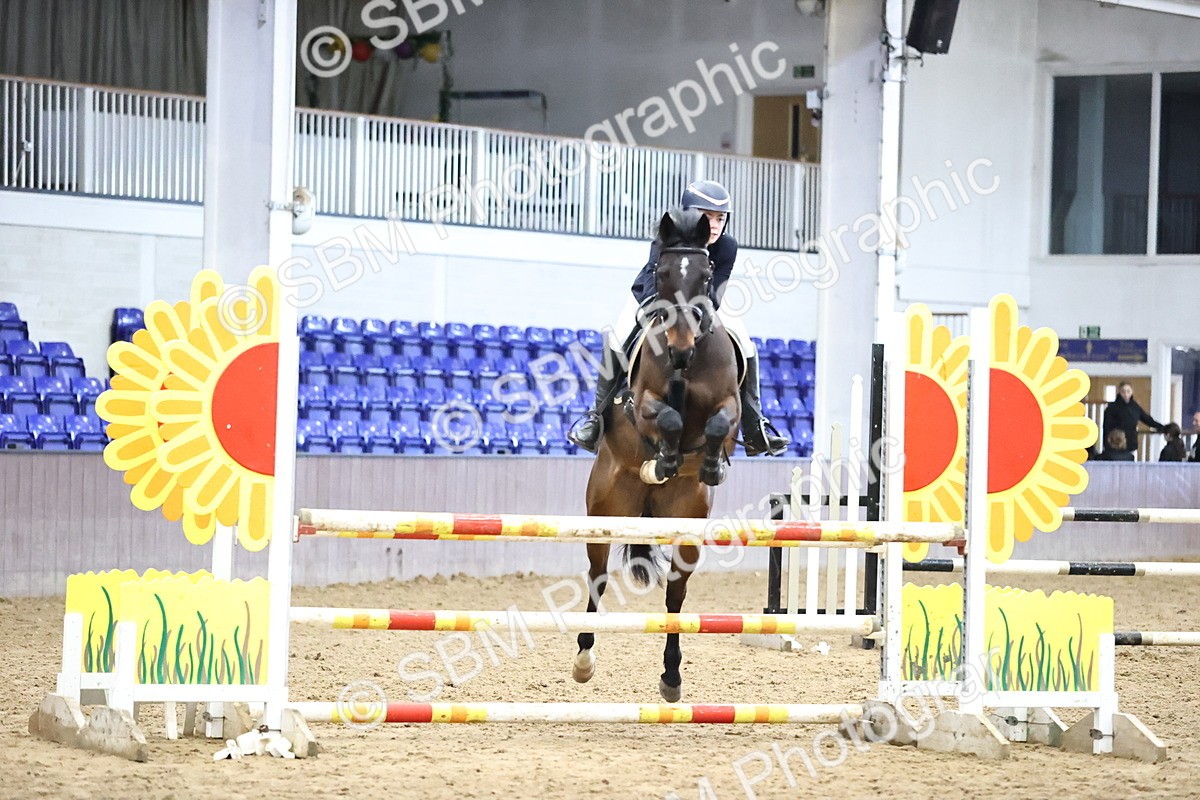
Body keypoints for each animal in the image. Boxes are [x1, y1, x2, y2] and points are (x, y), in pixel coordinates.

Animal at [572, 207, 742, 703]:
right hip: (604, 510)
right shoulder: (642, 401)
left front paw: (709, 464)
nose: (681, 347)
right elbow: (665, 418)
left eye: (706, 274)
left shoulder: (729, 404)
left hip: (686, 523)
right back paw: (584, 659)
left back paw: (671, 676)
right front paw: (664, 458)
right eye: (662, 273)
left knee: (675, 594)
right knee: (597, 575)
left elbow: (719, 424)